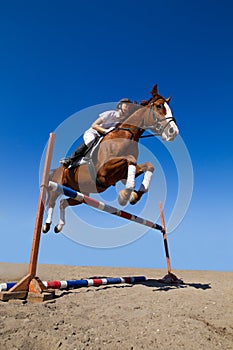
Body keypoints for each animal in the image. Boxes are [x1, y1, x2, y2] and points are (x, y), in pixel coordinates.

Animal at [42, 83, 179, 234]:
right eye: (159, 106)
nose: (173, 132)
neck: (126, 135)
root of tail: (57, 169)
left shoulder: (120, 175)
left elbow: (149, 165)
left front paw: (134, 196)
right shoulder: (103, 173)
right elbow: (130, 159)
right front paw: (126, 194)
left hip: (82, 193)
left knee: (63, 203)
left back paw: (59, 226)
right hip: (57, 184)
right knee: (52, 201)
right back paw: (46, 225)